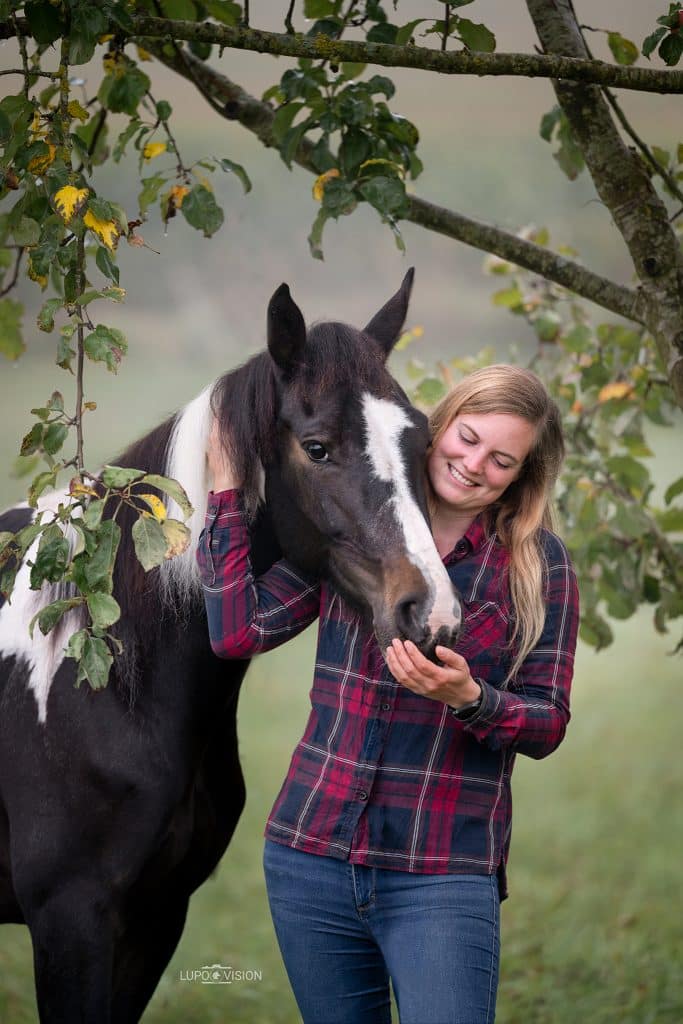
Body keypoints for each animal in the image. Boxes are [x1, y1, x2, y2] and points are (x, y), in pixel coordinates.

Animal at [0, 269, 462, 1023]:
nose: (432, 611)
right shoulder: (70, 921)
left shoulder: (156, 917)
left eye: (421, 443)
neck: (98, 676)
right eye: (317, 447)